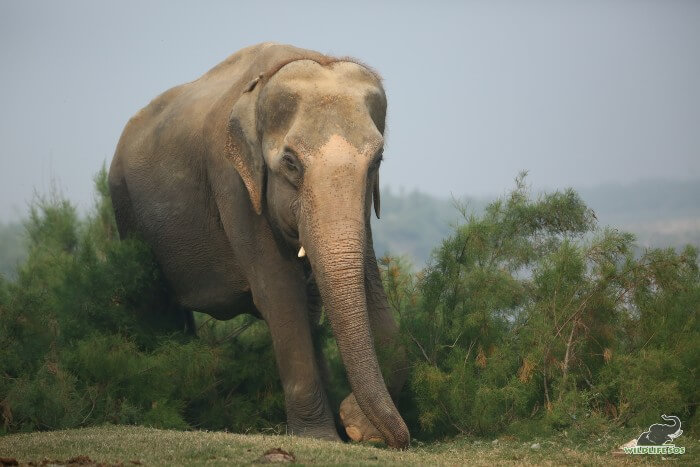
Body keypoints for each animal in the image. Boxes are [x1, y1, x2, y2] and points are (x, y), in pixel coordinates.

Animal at [108, 43, 410, 450]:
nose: (355, 421)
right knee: (156, 305)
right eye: (291, 163)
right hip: (127, 211)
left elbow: (354, 295)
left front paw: (349, 426)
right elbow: (280, 296)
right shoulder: (232, 182)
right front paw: (321, 437)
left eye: (377, 161)